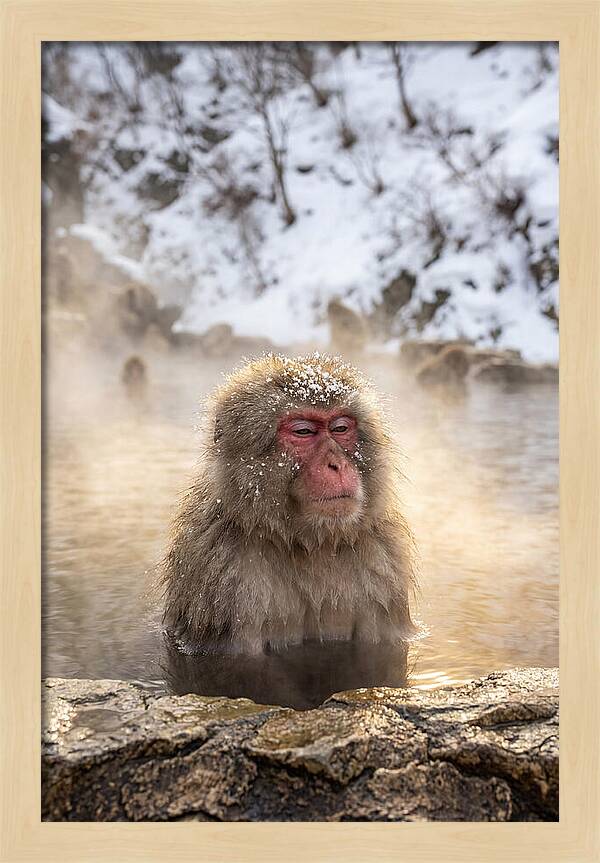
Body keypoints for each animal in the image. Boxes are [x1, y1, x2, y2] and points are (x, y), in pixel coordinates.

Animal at [162, 352, 418, 655]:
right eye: (303, 431)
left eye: (341, 428)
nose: (337, 464)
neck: (309, 544)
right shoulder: (222, 576)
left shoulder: (384, 564)